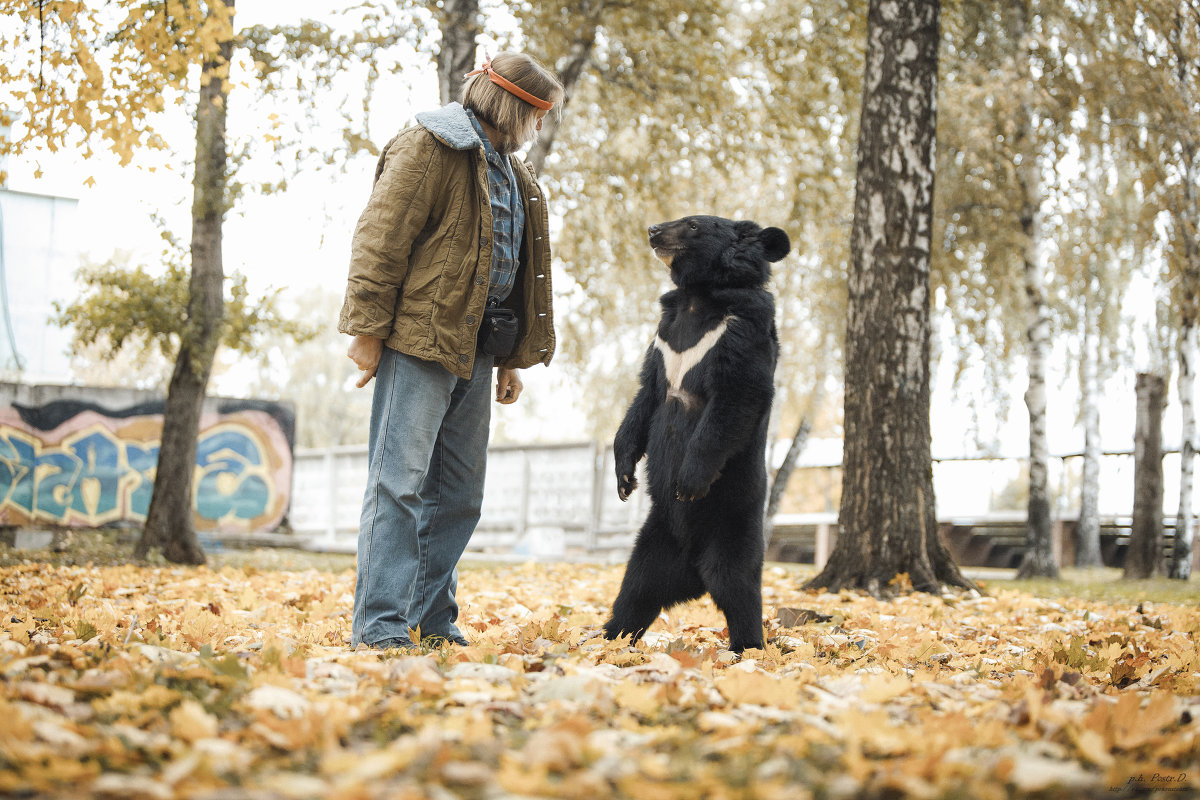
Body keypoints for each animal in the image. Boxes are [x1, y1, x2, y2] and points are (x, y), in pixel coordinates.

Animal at [604, 215, 792, 652]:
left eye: (692, 225)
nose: (653, 230)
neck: (697, 295)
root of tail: (691, 570)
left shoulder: (741, 330)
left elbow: (736, 397)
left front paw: (688, 481)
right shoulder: (661, 340)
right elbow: (644, 398)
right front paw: (624, 479)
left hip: (734, 519)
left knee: (737, 585)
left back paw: (748, 648)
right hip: (654, 539)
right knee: (636, 590)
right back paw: (606, 639)